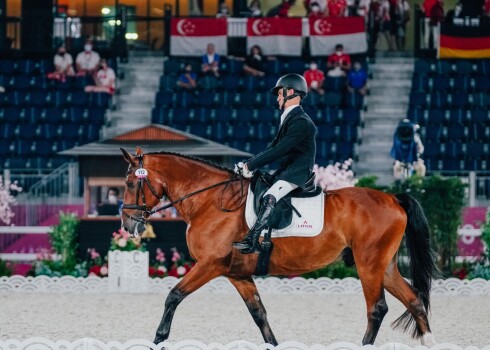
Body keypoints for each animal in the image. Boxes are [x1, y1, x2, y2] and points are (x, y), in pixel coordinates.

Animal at [120, 146, 438, 346]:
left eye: (130, 183)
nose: (128, 224)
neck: (211, 201)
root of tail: (394, 198)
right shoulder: (237, 273)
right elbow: (259, 313)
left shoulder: (210, 265)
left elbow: (173, 296)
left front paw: (158, 338)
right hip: (385, 266)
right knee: (413, 300)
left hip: (368, 265)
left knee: (377, 308)